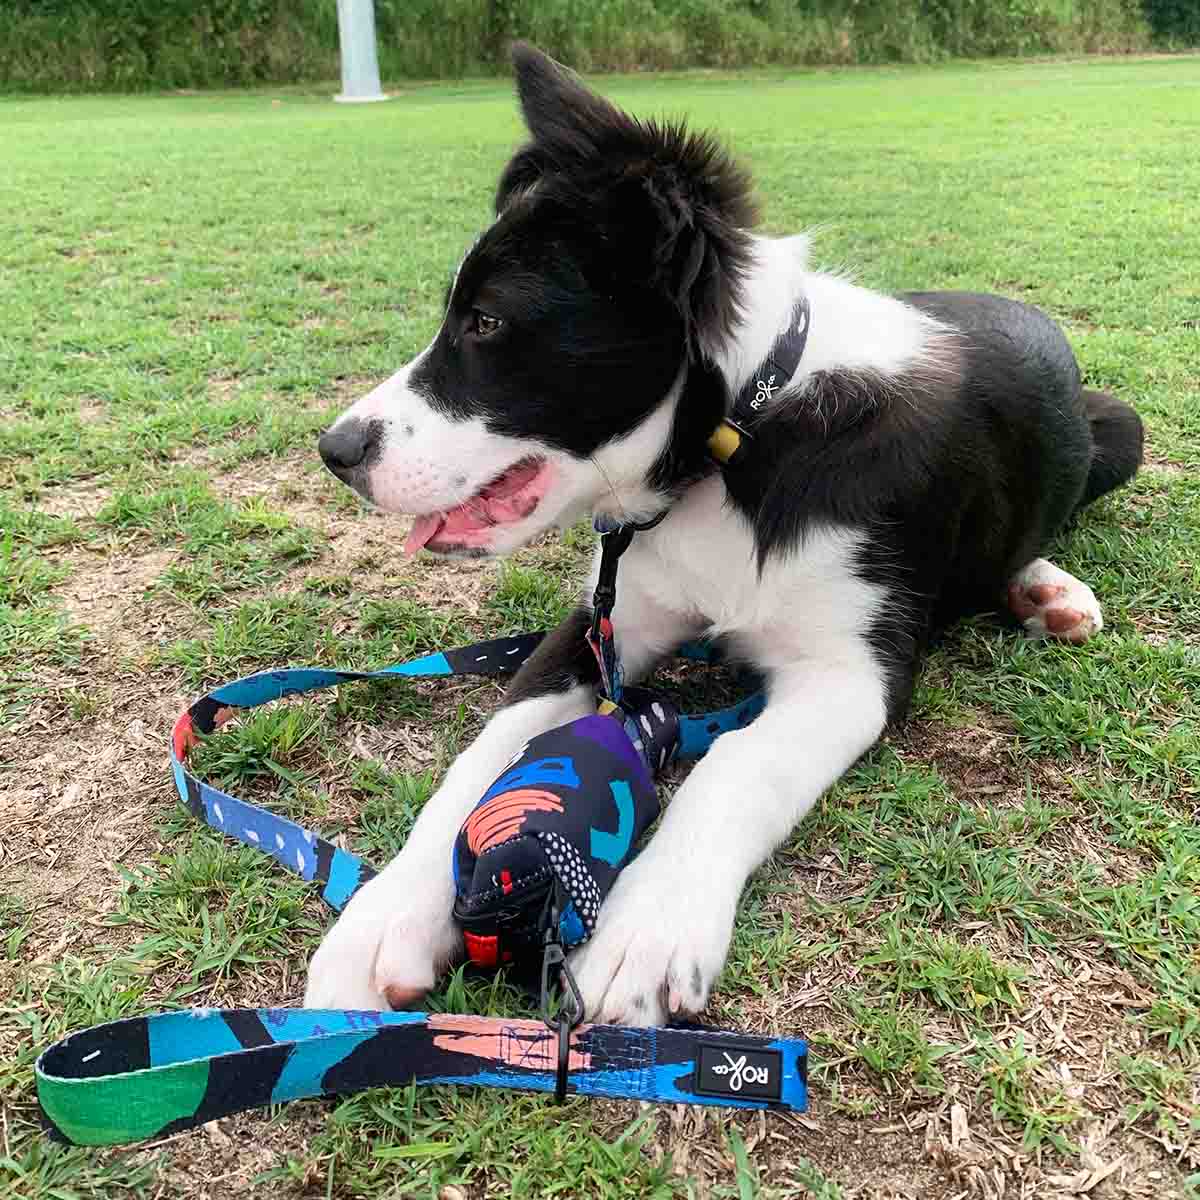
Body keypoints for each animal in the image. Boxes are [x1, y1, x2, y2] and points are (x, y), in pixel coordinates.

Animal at [304, 44, 1137, 1022]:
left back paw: (1046, 586)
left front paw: (649, 929)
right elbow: (481, 760)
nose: (335, 451)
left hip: (1118, 430)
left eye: (487, 322)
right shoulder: (604, 621)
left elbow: (733, 767)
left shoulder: (851, 673)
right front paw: (381, 918)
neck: (738, 445)